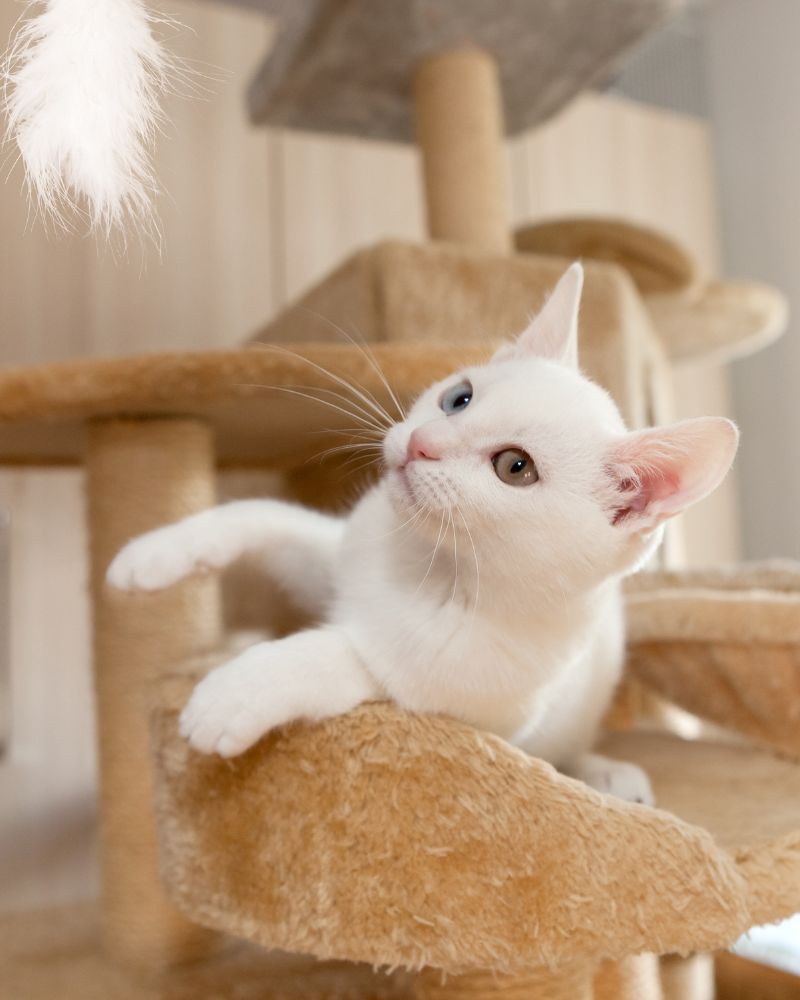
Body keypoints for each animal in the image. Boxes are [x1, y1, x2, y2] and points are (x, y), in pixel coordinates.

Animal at [106, 266, 736, 804]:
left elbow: (345, 653)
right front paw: (155, 552)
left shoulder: (462, 695)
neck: (427, 562)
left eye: (515, 467)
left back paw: (608, 774)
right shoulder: (340, 553)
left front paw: (236, 693)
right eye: (459, 397)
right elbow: (262, 516)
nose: (421, 443)